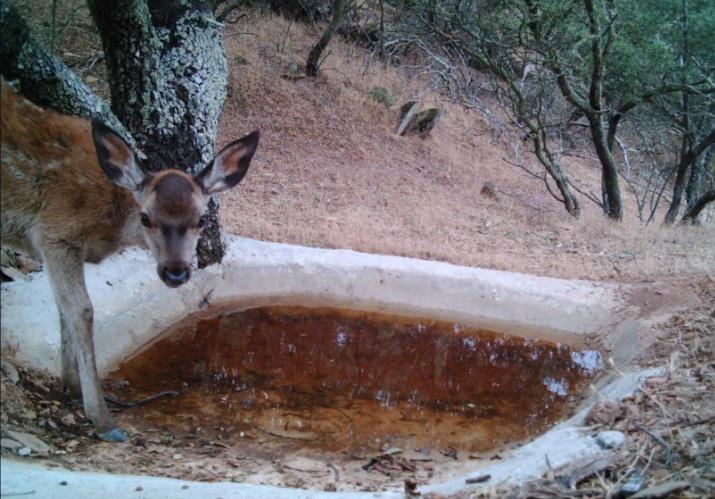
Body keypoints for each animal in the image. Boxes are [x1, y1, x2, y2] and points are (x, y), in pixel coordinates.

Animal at [1, 80, 258, 444]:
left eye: (202, 219)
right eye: (146, 217)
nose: (176, 272)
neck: (104, 231)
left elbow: (63, 307)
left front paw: (72, 384)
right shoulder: (53, 231)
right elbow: (81, 310)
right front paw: (102, 419)